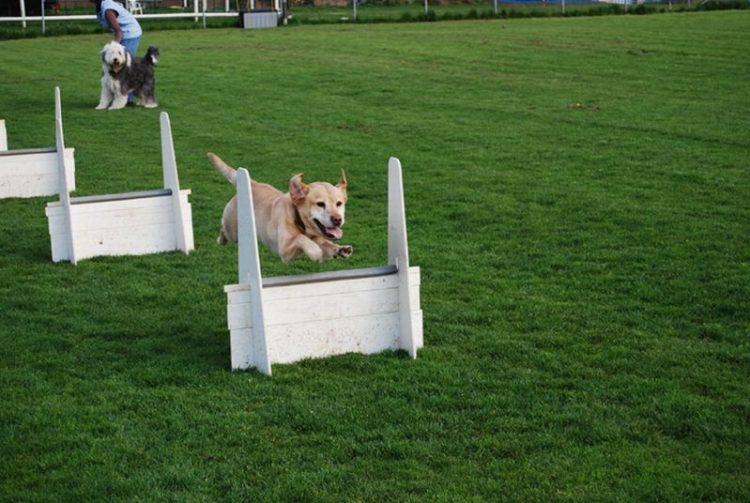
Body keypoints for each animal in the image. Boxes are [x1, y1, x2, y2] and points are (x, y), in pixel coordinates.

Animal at [207, 153, 354, 264]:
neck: (300, 222)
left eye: (339, 203)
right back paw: (220, 240)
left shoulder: (319, 238)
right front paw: (315, 251)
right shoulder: (284, 250)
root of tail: (252, 183)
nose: (337, 220)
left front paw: (341, 249)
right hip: (232, 228)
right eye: (320, 204)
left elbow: (326, 244)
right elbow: (301, 238)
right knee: (223, 230)